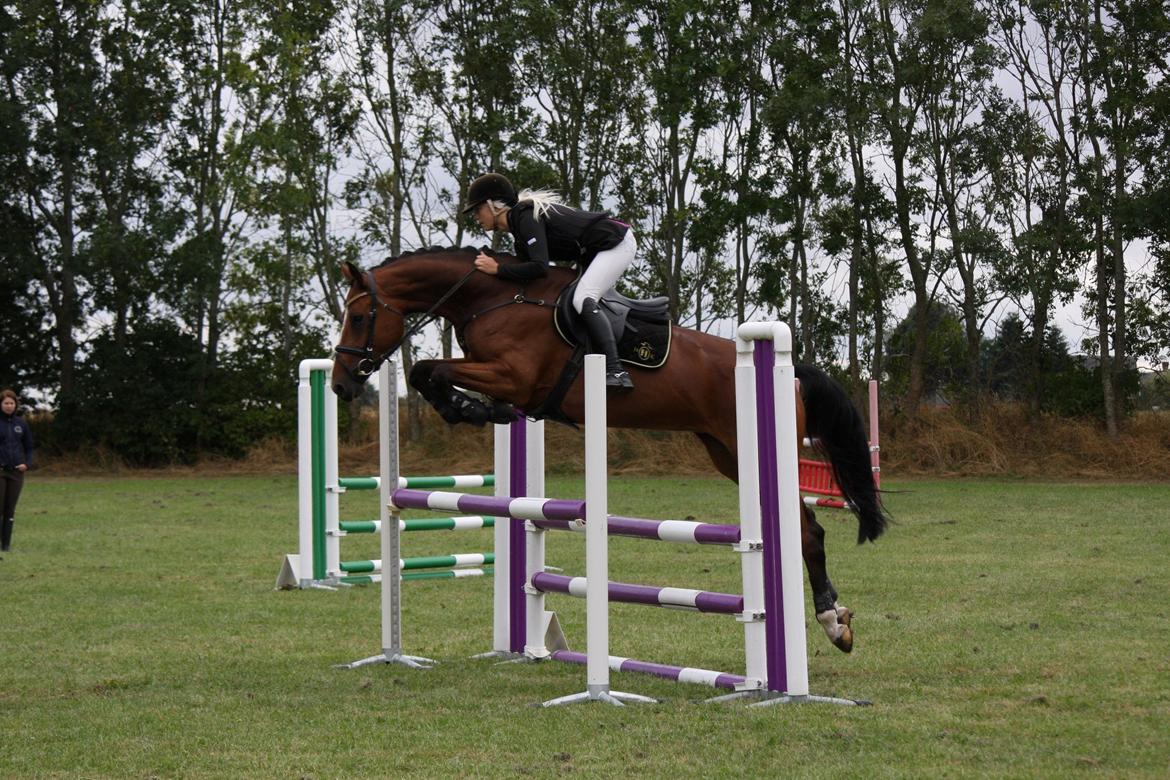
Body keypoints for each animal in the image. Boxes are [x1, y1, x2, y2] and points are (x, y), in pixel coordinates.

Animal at [329, 245, 884, 654]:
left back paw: (833, 623)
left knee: (806, 531)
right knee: (807, 528)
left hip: (748, 449)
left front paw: (470, 409)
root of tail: (794, 373)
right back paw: (835, 622)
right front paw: (473, 410)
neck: (497, 297)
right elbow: (427, 372)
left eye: (356, 317)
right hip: (726, 454)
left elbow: (431, 369)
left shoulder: (514, 377)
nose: (339, 384)